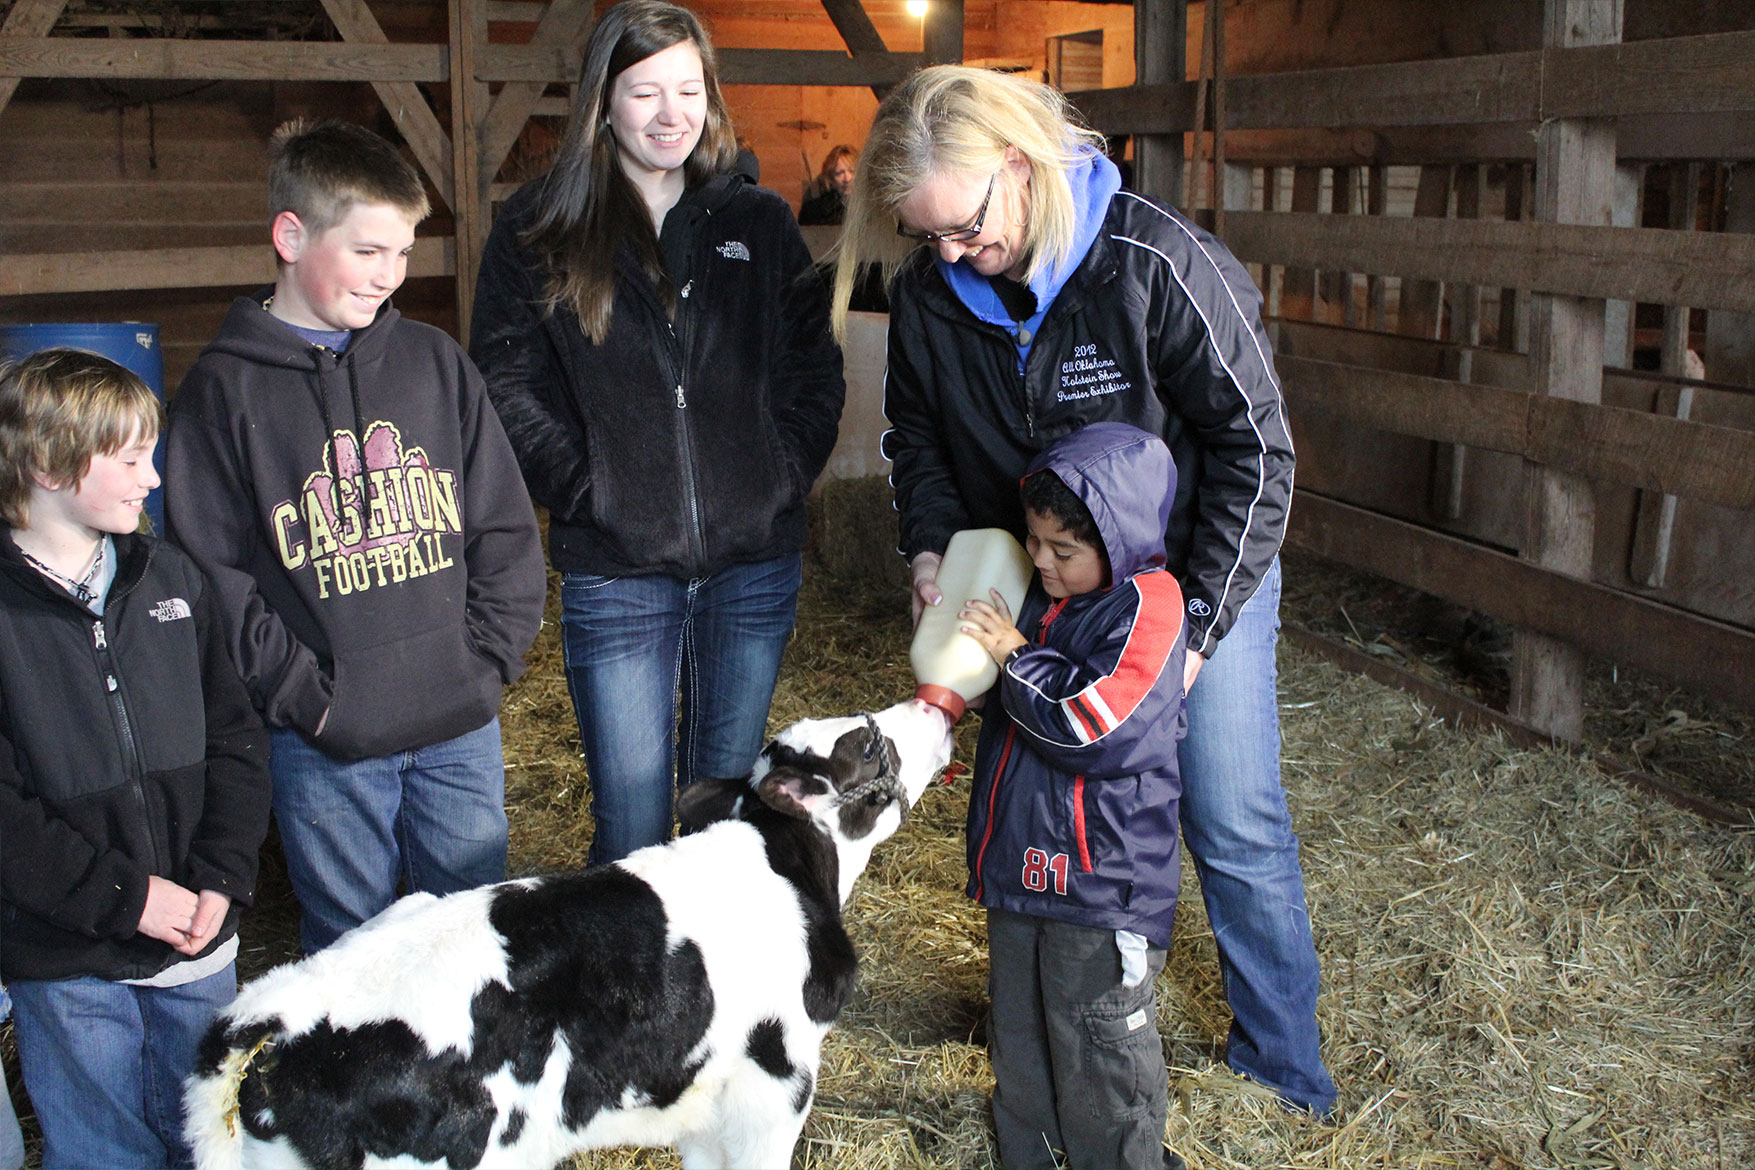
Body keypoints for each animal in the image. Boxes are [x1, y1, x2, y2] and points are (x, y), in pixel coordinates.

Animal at [185, 694, 954, 1170]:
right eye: (867, 743)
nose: (935, 707)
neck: (784, 865)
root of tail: (271, 1014)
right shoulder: (775, 1085)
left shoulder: (703, 1103)